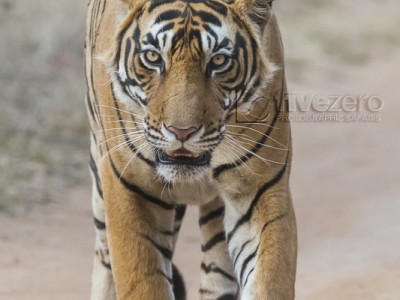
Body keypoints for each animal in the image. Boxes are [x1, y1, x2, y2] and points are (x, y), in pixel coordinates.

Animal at [84, 0, 296, 298]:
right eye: (153, 57)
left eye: (218, 61)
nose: (181, 132)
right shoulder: (131, 187)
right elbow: (142, 280)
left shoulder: (259, 188)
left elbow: (269, 278)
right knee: (104, 257)